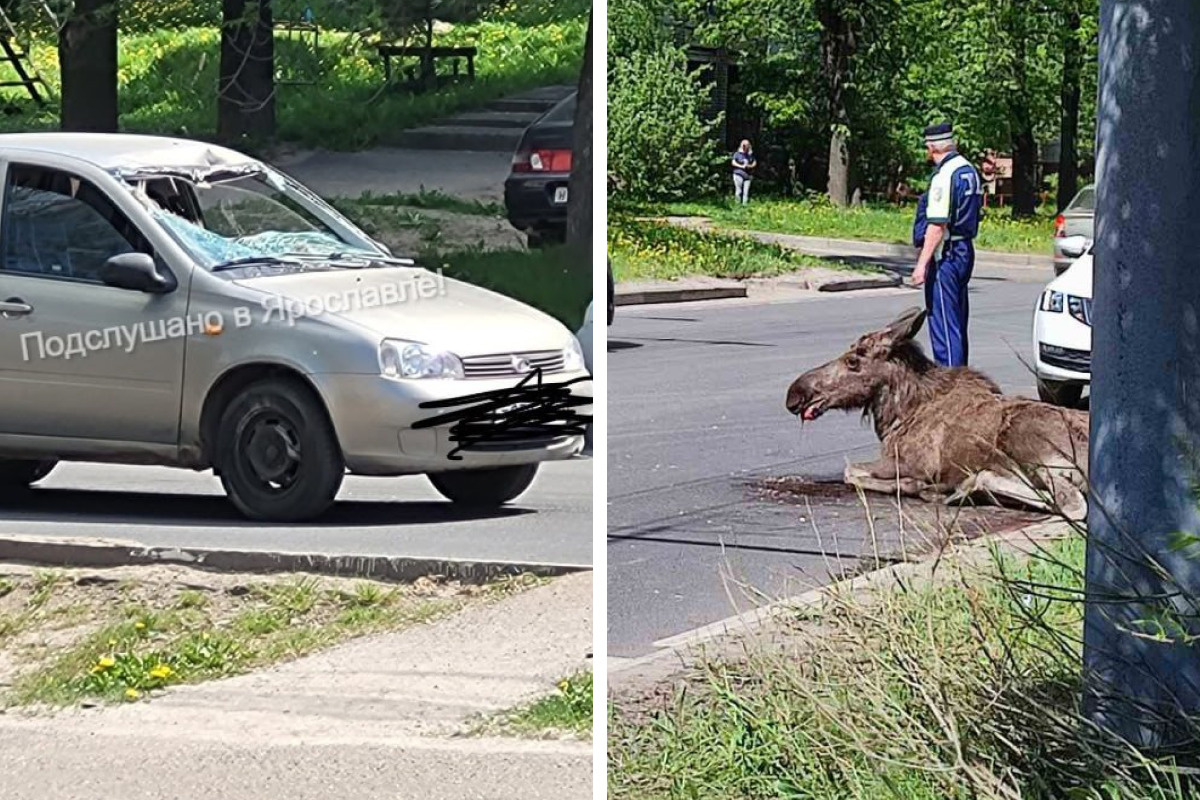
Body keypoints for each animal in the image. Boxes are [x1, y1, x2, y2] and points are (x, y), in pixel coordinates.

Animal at [782, 307, 1094, 520]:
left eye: (853, 361)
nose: (795, 393)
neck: (897, 415)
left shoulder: (906, 463)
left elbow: (850, 472)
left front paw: (909, 485)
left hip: (1032, 448)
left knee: (1072, 504)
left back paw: (962, 488)